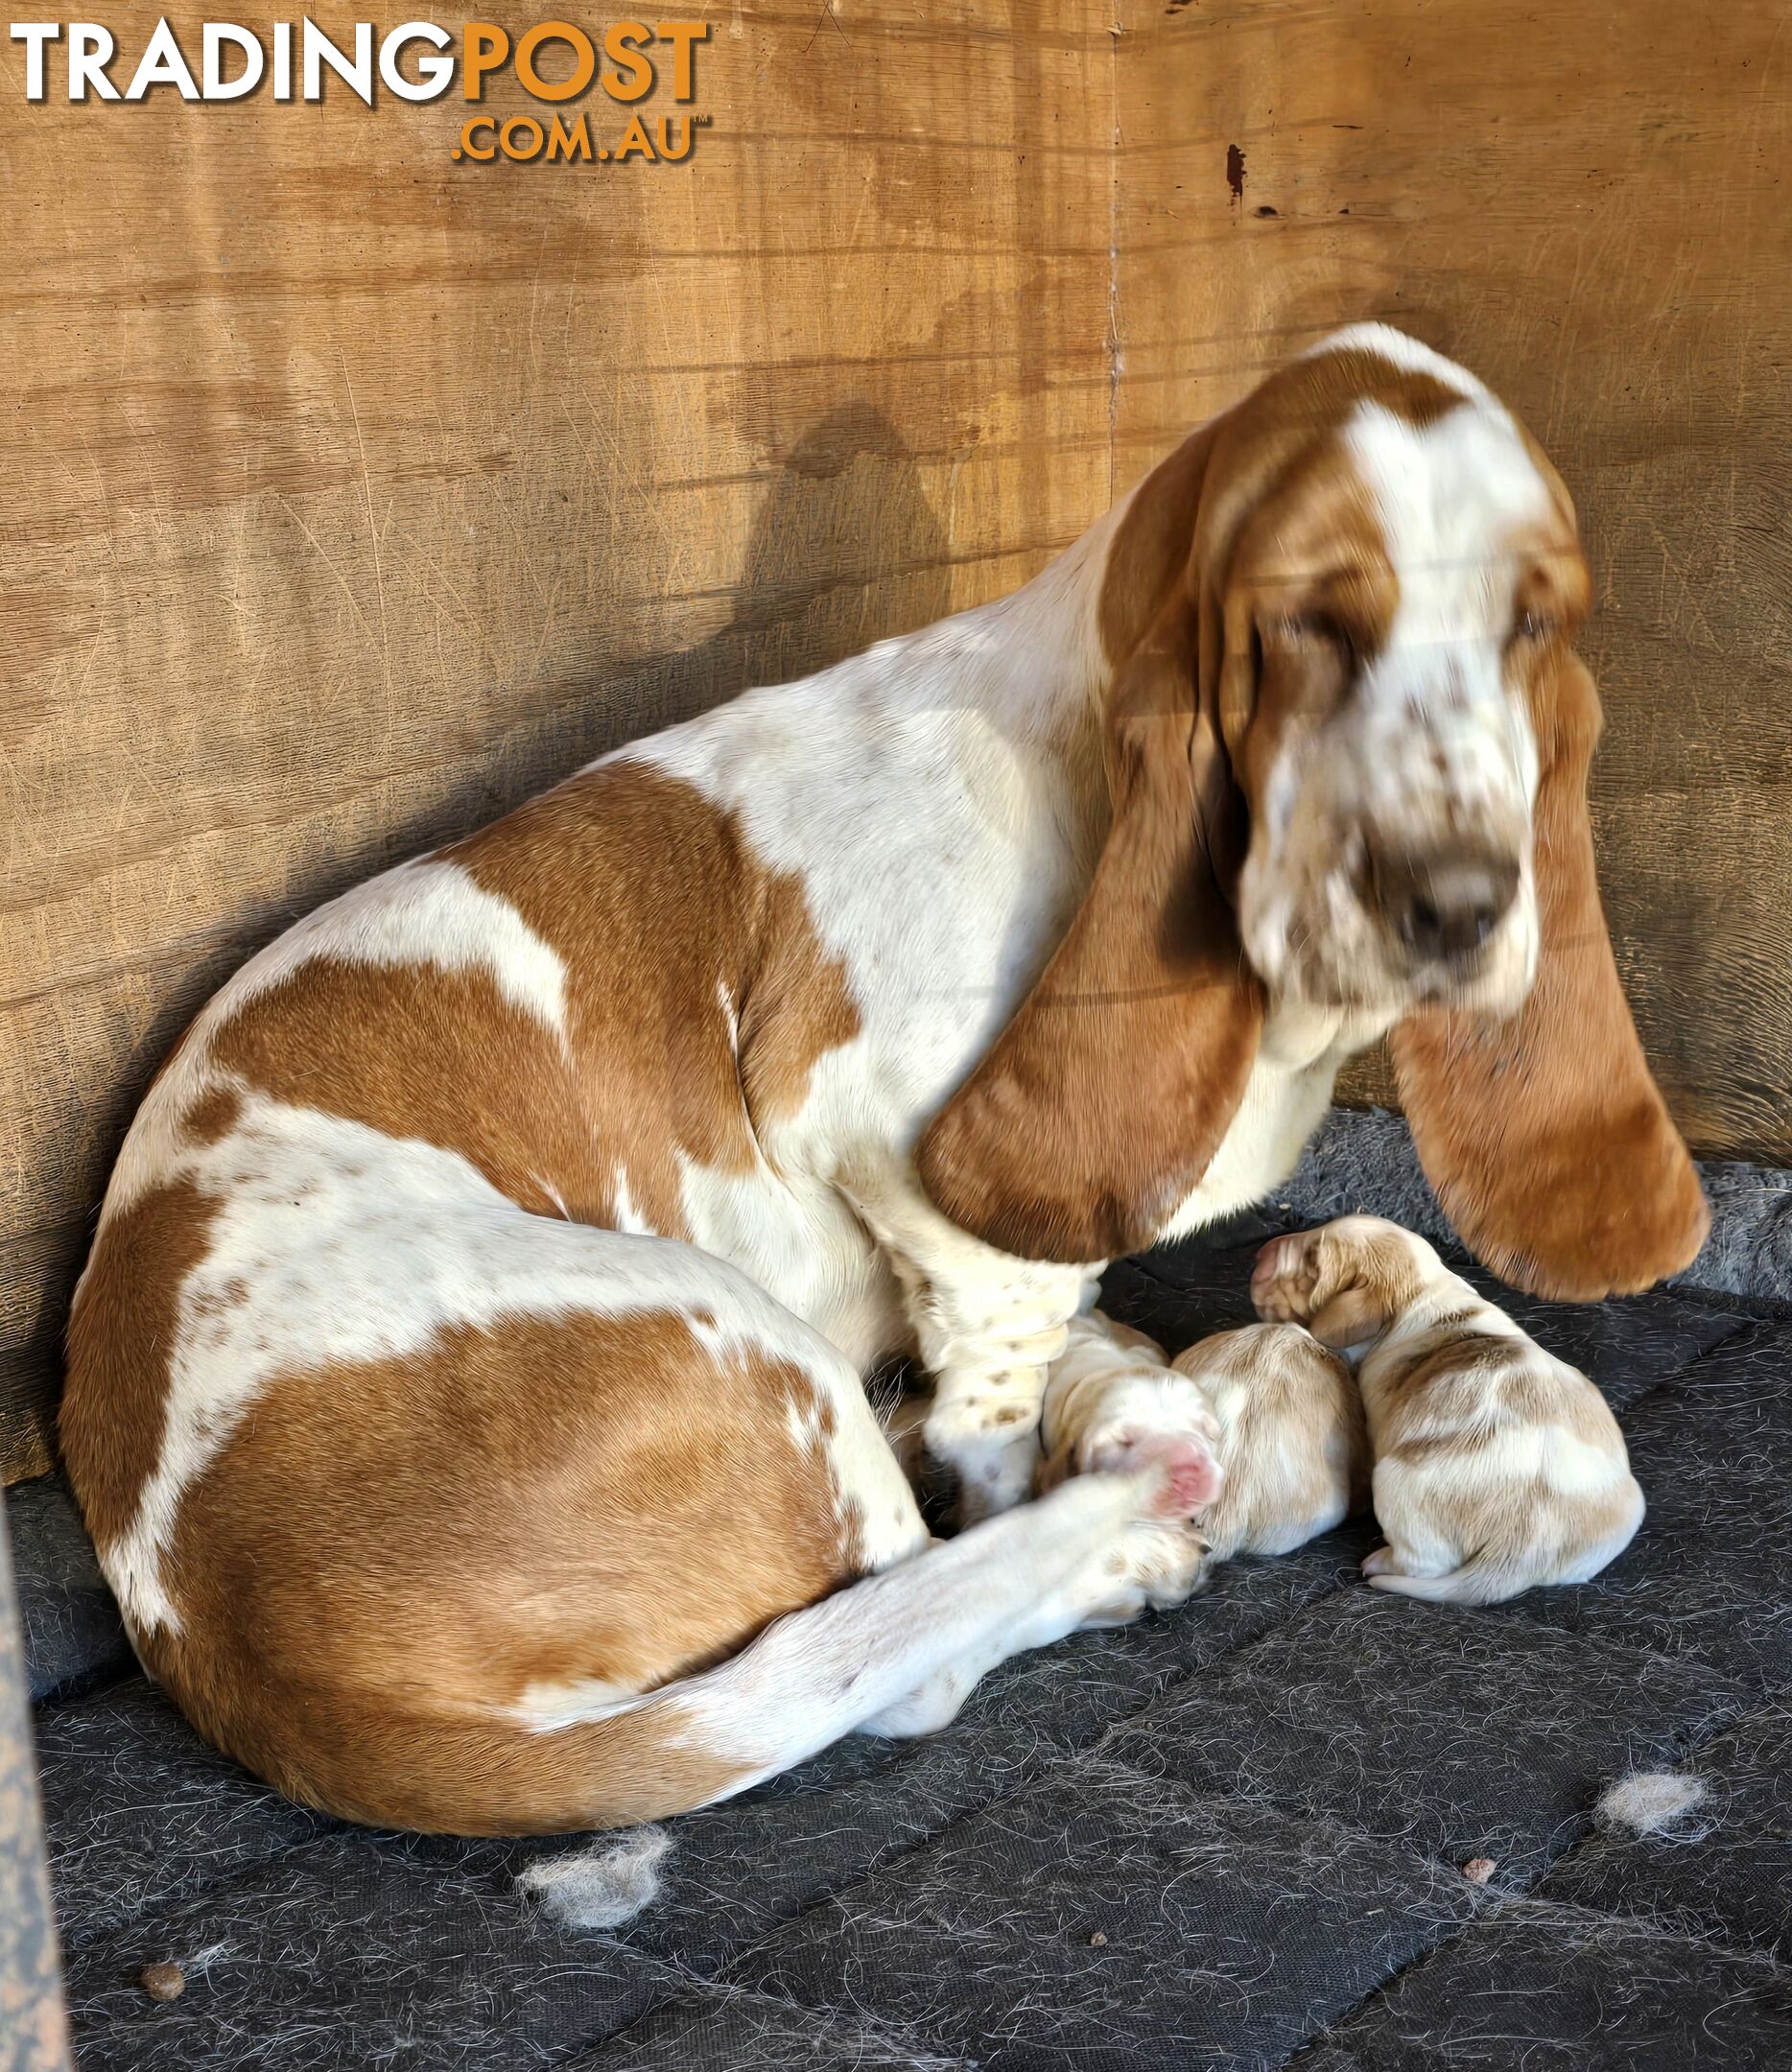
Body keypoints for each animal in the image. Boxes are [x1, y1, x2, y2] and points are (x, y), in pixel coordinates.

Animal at [1251, 1210, 1640, 1599]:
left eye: (1312, 1264)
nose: (1261, 1253)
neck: (1420, 1291)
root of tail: (1522, 1545)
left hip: (1394, 1481)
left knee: (1420, 1562)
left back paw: (1378, 1562)